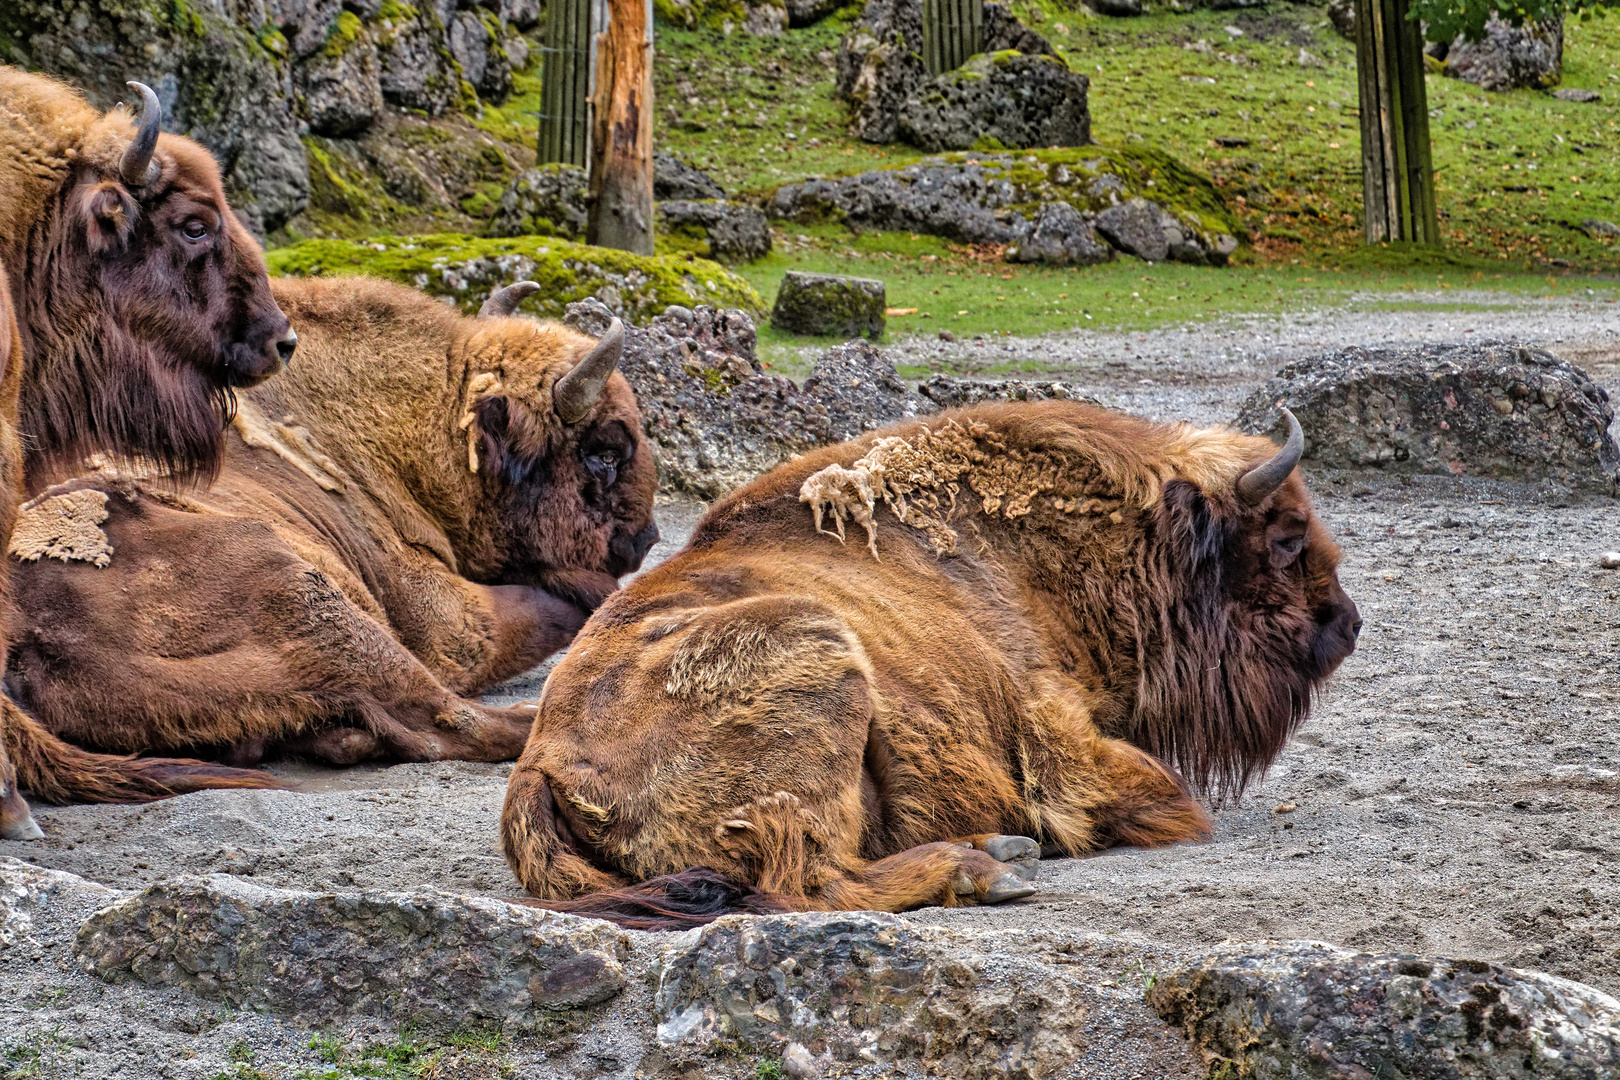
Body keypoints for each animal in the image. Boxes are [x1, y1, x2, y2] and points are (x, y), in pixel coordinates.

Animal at [11, 275, 657, 773]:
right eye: (604, 452)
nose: (645, 540)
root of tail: (23, 640)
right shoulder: (450, 622)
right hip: (310, 596)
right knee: (453, 719)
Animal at [498, 401, 1360, 926]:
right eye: (1286, 539)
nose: (1347, 625)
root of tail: (538, 765)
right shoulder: (1064, 749)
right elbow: (1165, 799)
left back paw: (999, 850)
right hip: (822, 653)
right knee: (810, 881)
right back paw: (983, 870)